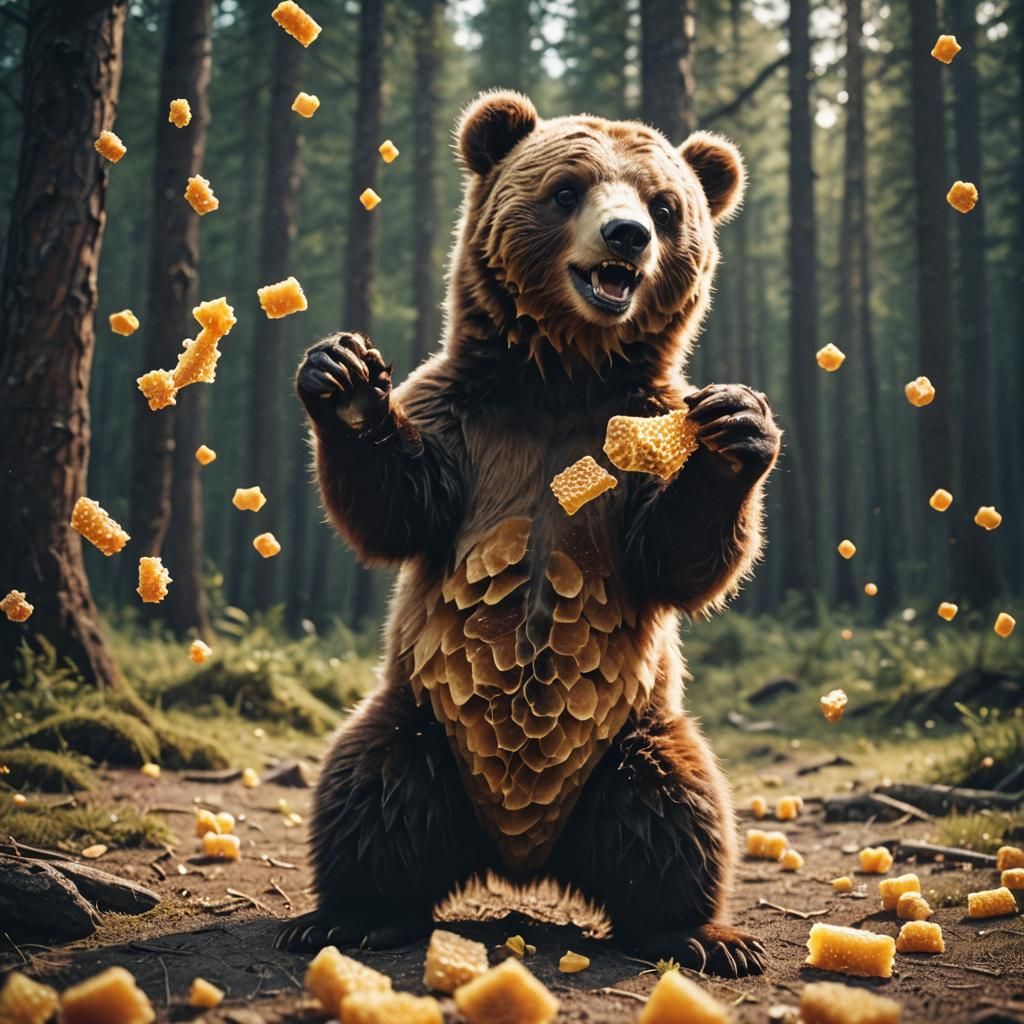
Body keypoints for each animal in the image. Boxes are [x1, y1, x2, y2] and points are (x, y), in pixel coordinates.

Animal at [276, 90, 781, 978]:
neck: (563, 378)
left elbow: (676, 554)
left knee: (677, 810)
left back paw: (703, 934)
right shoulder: (467, 423)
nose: (628, 236)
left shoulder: (630, 432)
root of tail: (522, 855)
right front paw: (346, 382)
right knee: (370, 789)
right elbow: (398, 506)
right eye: (568, 190)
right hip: (420, 722)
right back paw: (349, 916)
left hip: (633, 736)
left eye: (665, 205)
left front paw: (735, 429)